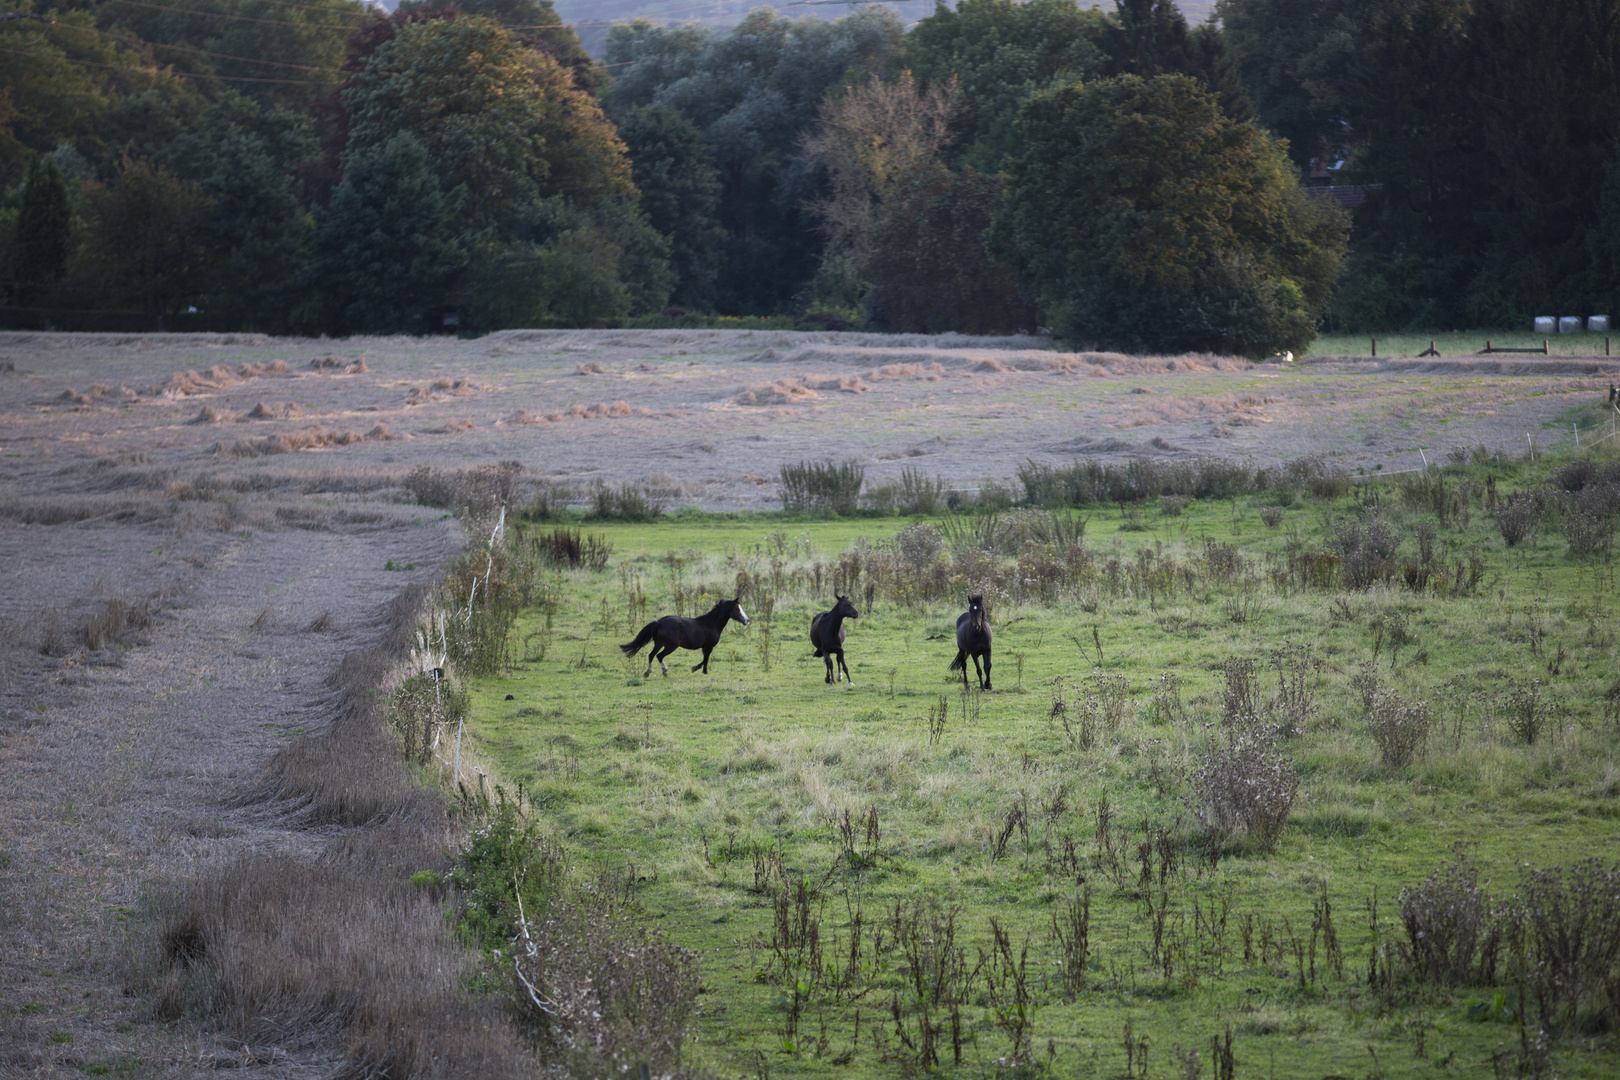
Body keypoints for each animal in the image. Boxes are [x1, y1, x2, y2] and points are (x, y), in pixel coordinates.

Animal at [618, 599, 751, 676]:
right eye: (737, 609)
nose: (747, 620)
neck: (711, 624)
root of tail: (659, 623)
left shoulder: (705, 647)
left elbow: (705, 659)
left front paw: (698, 669)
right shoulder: (708, 646)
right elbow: (706, 660)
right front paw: (700, 671)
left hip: (659, 643)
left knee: (651, 655)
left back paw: (647, 672)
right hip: (671, 646)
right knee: (659, 656)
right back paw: (664, 671)